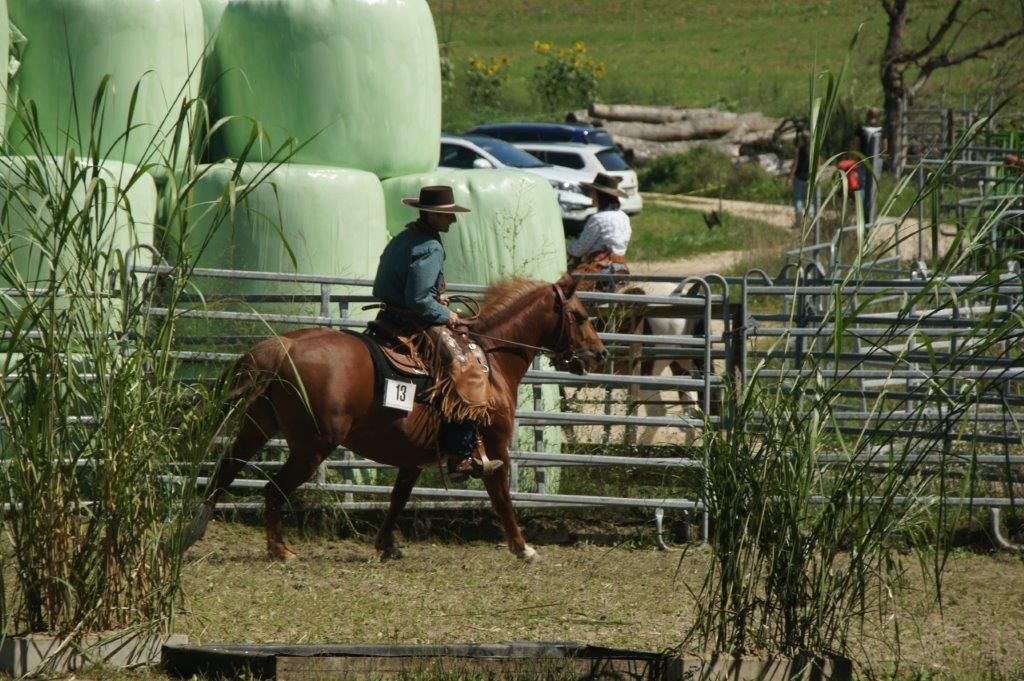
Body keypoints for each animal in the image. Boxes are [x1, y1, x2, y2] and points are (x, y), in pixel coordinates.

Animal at [186, 273, 607, 563]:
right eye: (581, 316)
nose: (600, 354)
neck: (493, 359)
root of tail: (282, 346)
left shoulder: (413, 456)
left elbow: (398, 497)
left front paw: (386, 545)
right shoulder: (495, 447)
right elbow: (501, 497)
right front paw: (523, 549)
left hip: (258, 427)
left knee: (225, 470)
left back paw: (193, 530)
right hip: (311, 447)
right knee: (273, 489)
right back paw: (280, 550)